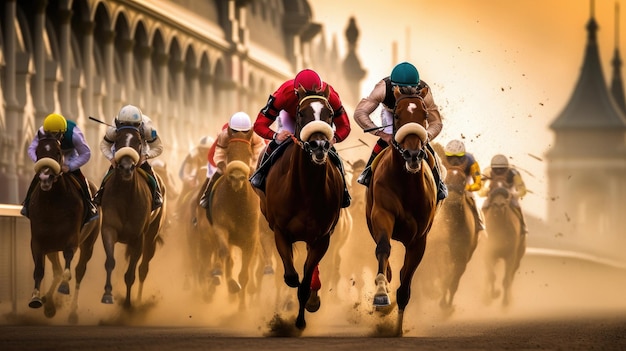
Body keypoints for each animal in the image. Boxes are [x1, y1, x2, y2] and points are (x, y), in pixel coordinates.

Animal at [27, 131, 99, 324]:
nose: (45, 177)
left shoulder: (72, 238)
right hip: (52, 246)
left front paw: (64, 288)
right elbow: (40, 270)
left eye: (58, 152)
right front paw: (37, 298)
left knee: (79, 271)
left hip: (88, 243)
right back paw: (50, 304)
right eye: (38, 151)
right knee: (57, 270)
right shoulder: (39, 241)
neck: (53, 204)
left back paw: (72, 312)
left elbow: (67, 271)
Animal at [98, 125, 165, 310]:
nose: (126, 167)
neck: (126, 196)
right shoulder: (109, 229)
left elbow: (130, 274)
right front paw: (107, 295)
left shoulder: (138, 238)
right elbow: (110, 261)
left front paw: (128, 305)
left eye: (138, 141)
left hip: (152, 236)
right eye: (117, 139)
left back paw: (140, 299)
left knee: (143, 269)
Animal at [204, 127, 260, 310]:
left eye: (249, 153)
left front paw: (242, 308)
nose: (236, 177)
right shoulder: (221, 228)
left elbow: (244, 274)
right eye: (228, 151)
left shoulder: (251, 240)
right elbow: (226, 256)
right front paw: (231, 284)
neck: (238, 205)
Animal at [252, 84, 344, 330]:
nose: (319, 145)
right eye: (301, 113)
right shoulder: (280, 231)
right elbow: (292, 277)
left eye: (330, 114)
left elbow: (304, 281)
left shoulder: (322, 237)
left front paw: (302, 317)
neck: (306, 191)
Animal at [364, 86, 436, 336]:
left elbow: (407, 279)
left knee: (404, 272)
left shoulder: (419, 238)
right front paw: (380, 294)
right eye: (396, 115)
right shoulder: (382, 214)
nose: (413, 155)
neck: (407, 184)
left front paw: (397, 327)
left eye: (424, 115)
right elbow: (383, 248)